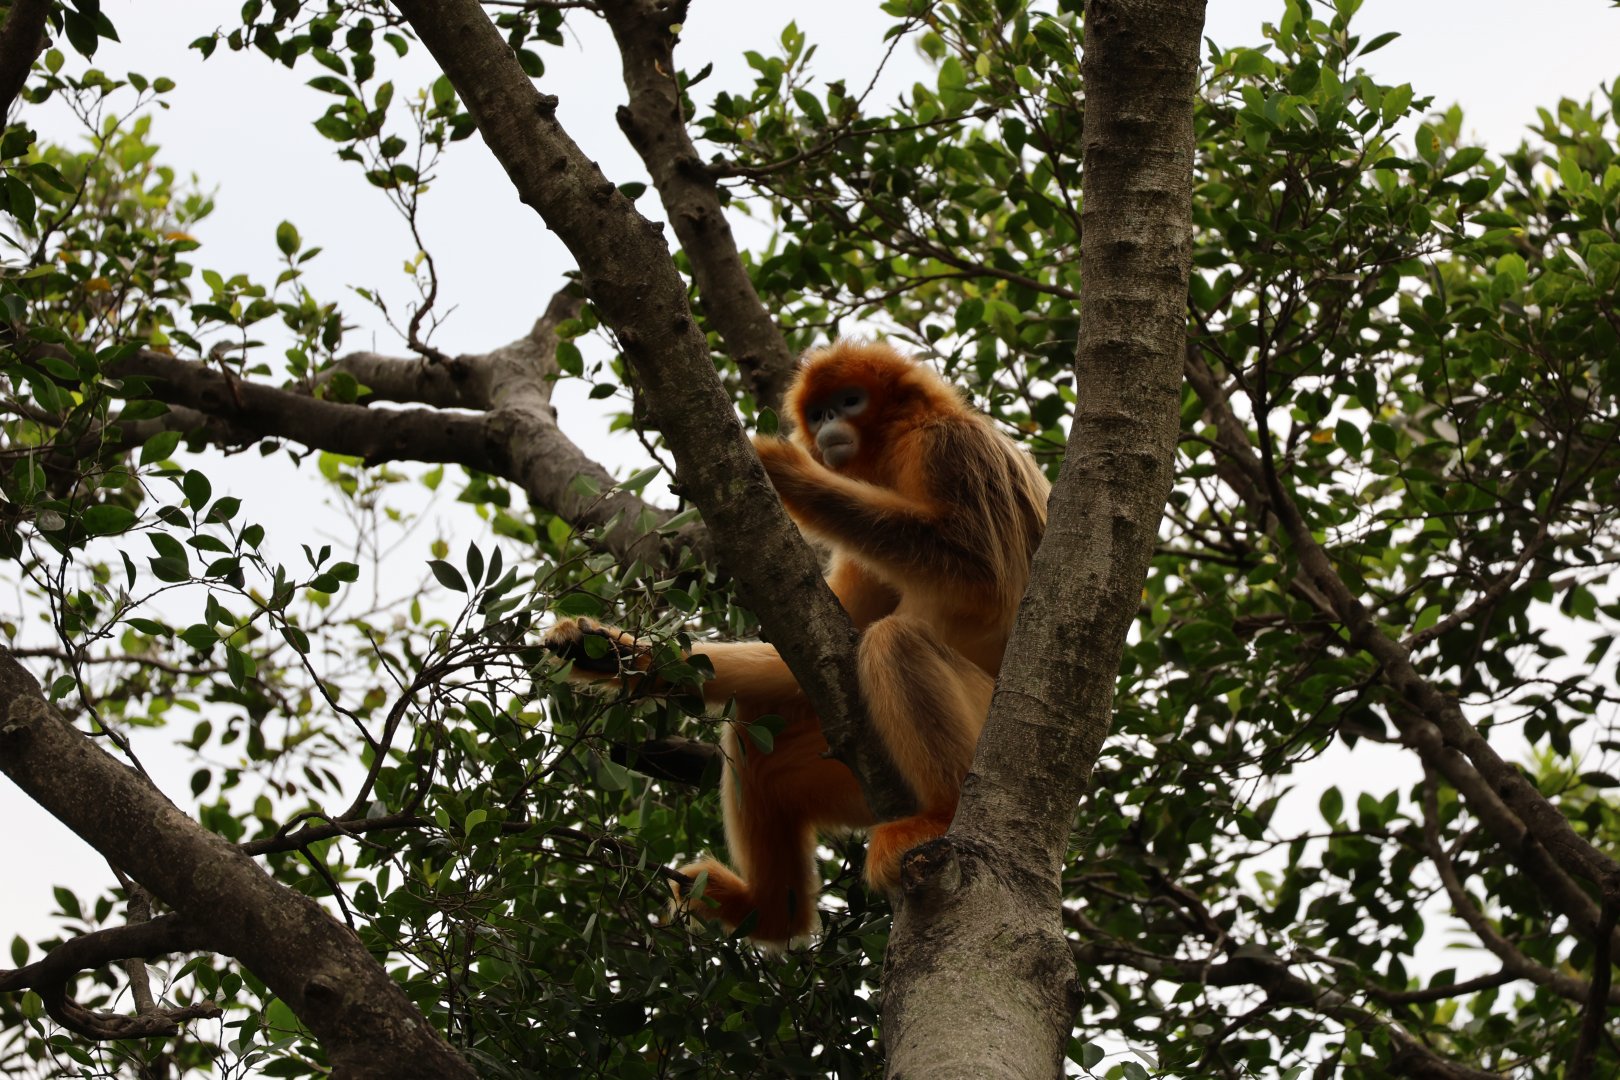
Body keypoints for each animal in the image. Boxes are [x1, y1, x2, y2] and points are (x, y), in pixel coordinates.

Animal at [546, 341, 1049, 945]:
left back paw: (939, 816)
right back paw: (767, 912)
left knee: (895, 641)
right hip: (856, 776)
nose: (829, 424)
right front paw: (606, 651)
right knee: (756, 746)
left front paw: (782, 468)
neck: (894, 443)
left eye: (850, 401)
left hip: (992, 737)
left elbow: (977, 566)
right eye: (819, 412)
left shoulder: (947, 446)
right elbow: (816, 646)